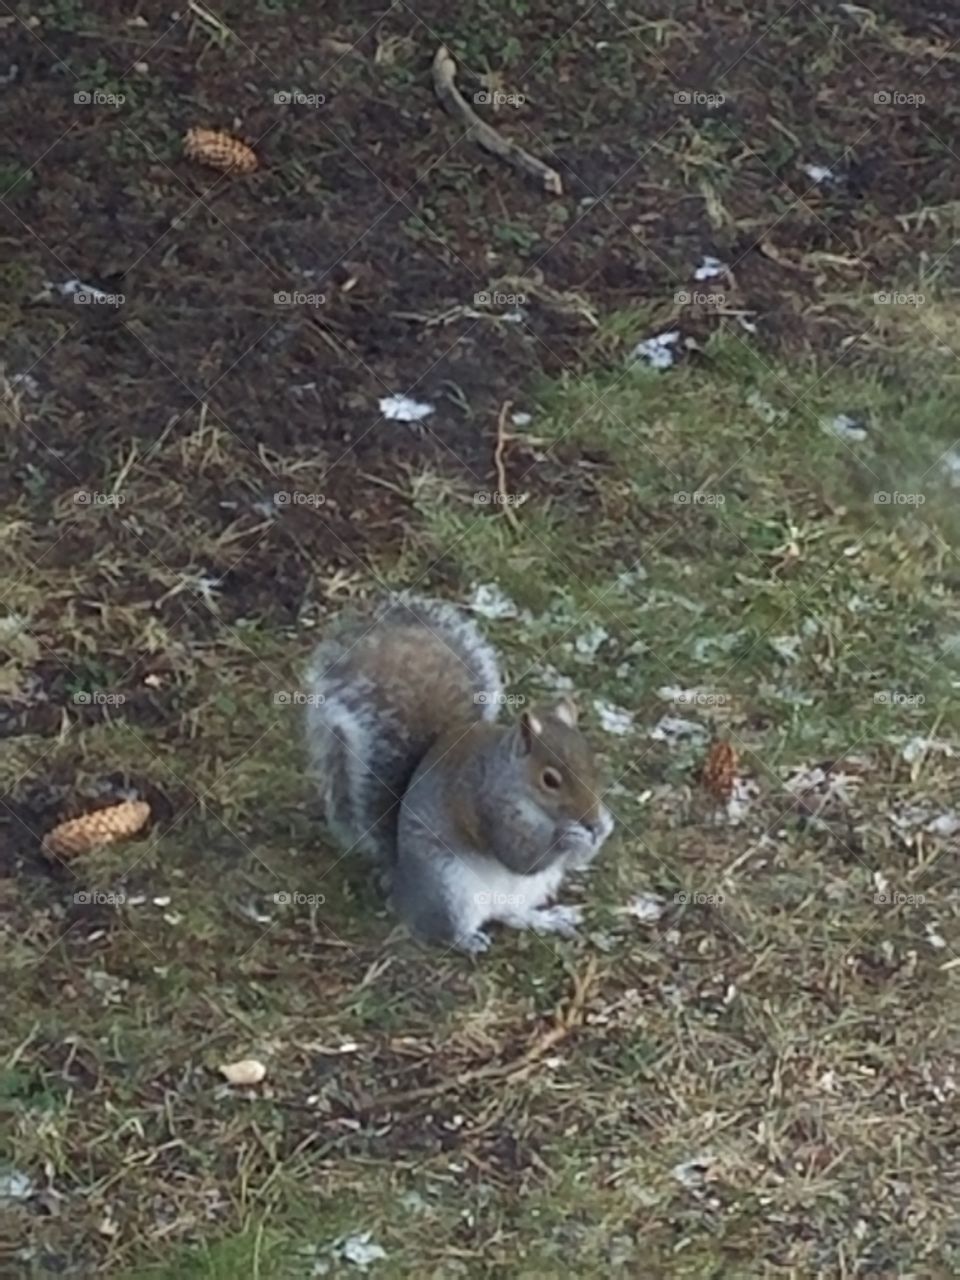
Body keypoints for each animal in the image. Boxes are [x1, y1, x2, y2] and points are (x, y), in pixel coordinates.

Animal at [304, 593, 614, 954]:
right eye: (550, 780)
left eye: (592, 764)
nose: (590, 820)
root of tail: (403, 886)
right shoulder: (485, 805)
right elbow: (518, 856)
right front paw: (569, 835)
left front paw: (603, 828)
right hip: (449, 887)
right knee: (444, 930)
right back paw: (468, 940)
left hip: (533, 888)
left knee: (510, 914)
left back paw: (547, 918)